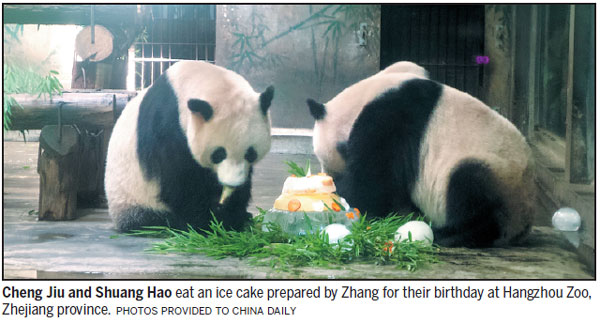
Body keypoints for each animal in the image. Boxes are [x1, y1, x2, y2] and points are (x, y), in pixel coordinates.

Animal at [105, 60, 274, 233]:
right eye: (218, 154)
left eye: (250, 154)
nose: (232, 184)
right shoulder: (167, 127)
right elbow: (180, 180)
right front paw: (209, 222)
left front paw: (234, 213)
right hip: (135, 199)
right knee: (154, 219)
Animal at [310, 61, 536, 248]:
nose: (328, 175)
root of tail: (522, 226)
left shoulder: (389, 122)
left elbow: (372, 181)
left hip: (495, 172)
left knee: (470, 191)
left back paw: (450, 235)